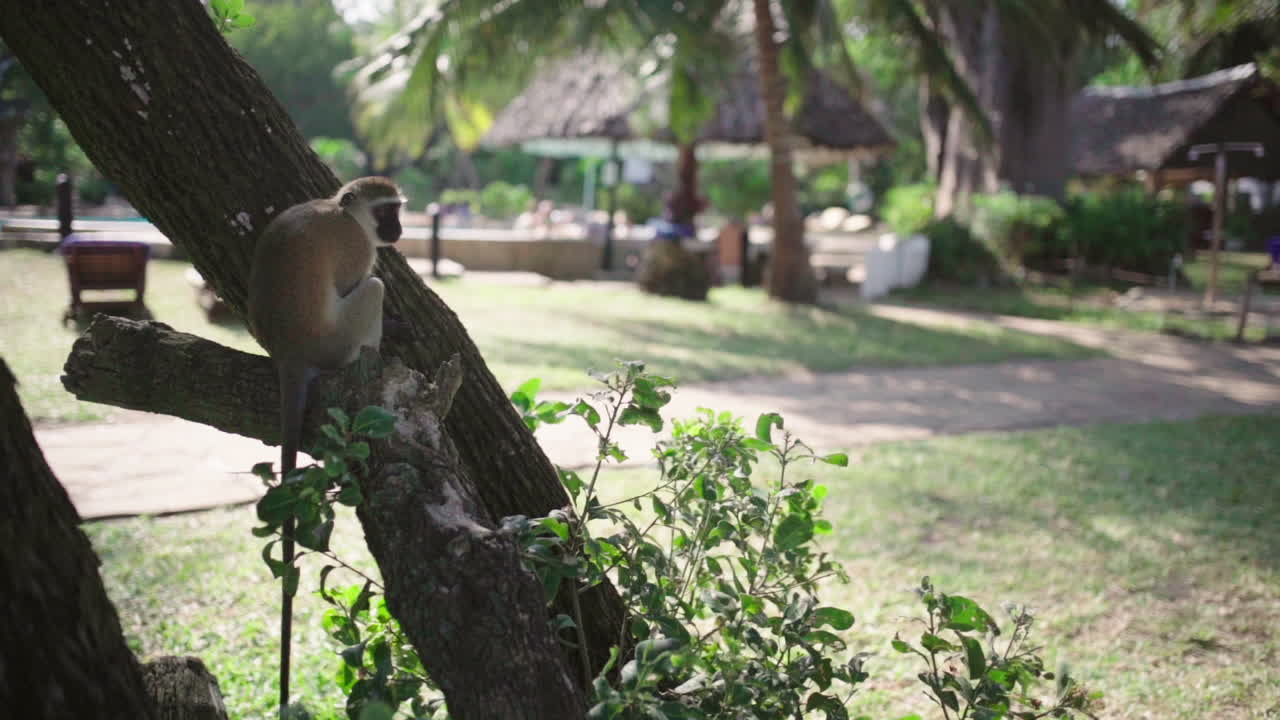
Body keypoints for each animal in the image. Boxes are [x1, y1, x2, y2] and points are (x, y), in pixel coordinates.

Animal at [246, 176, 404, 716]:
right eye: (388, 211)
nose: (399, 230)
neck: (343, 212)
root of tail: (289, 353)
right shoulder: (357, 247)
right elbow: (362, 278)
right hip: (337, 339)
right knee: (373, 289)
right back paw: (373, 352)